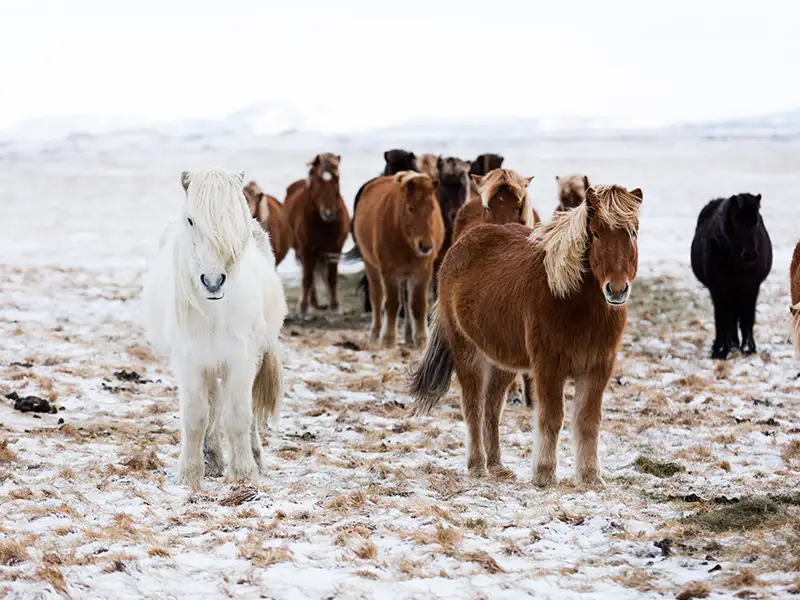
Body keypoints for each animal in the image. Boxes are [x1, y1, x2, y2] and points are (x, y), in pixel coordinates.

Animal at [142, 166, 290, 486]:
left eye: (236, 220)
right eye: (191, 220)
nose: (213, 282)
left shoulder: (241, 359)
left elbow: (238, 416)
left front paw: (245, 473)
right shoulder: (190, 361)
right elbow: (197, 416)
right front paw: (190, 474)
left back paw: (254, 458)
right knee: (211, 407)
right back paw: (211, 460)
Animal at [288, 154, 350, 314]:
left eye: (337, 178)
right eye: (318, 180)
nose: (329, 213)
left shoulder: (335, 249)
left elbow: (332, 278)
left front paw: (335, 306)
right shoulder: (306, 249)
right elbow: (307, 278)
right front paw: (303, 307)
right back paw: (312, 303)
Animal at [354, 171, 446, 350]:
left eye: (432, 208)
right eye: (410, 207)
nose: (425, 246)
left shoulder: (422, 271)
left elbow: (417, 305)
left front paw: (421, 339)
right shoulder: (389, 271)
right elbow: (392, 304)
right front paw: (388, 339)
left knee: (406, 300)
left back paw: (409, 336)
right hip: (371, 266)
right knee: (377, 297)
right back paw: (375, 332)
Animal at [412, 184, 644, 488]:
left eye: (633, 232)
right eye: (595, 233)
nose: (616, 290)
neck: (575, 304)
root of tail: (458, 248)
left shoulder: (598, 368)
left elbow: (588, 421)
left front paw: (590, 477)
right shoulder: (548, 367)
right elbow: (552, 418)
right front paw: (544, 475)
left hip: (502, 361)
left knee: (492, 408)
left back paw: (497, 466)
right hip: (466, 352)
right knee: (473, 407)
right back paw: (477, 466)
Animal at [692, 195, 772, 358]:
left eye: (756, 223)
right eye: (735, 223)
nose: (750, 255)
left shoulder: (751, 287)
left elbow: (747, 317)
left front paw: (748, 348)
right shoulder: (718, 289)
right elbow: (722, 318)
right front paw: (720, 350)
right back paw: (732, 343)